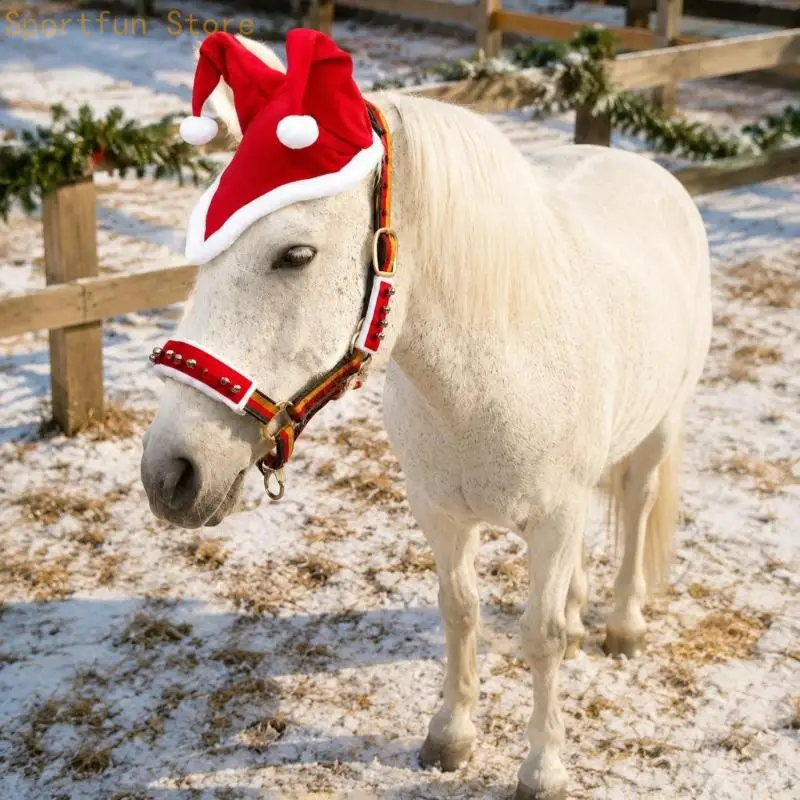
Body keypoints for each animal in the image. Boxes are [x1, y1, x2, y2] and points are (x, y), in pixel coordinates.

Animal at [140, 34, 712, 799]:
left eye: (295, 254)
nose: (169, 472)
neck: (488, 382)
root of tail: (650, 171)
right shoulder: (440, 514)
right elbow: (460, 611)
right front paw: (452, 734)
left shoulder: (553, 517)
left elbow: (539, 639)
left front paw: (543, 766)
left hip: (661, 428)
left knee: (639, 506)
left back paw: (622, 624)